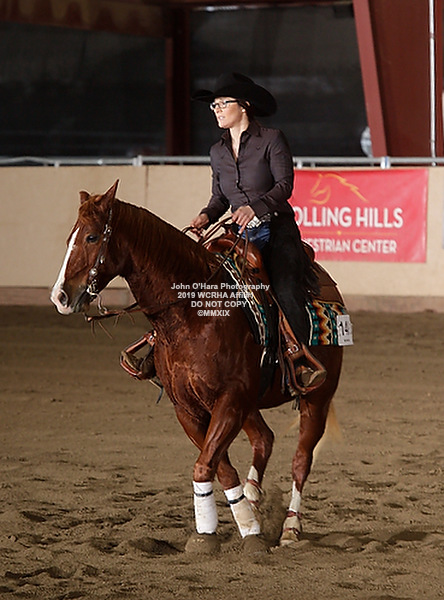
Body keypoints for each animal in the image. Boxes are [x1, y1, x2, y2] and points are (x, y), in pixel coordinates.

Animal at [51, 181, 344, 552]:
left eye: (91, 237)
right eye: (70, 237)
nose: (60, 296)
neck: (193, 313)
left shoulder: (230, 400)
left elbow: (205, 465)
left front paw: (244, 531)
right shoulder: (188, 408)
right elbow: (219, 468)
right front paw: (221, 529)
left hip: (317, 397)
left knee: (301, 460)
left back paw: (290, 527)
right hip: (252, 402)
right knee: (264, 439)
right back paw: (253, 499)